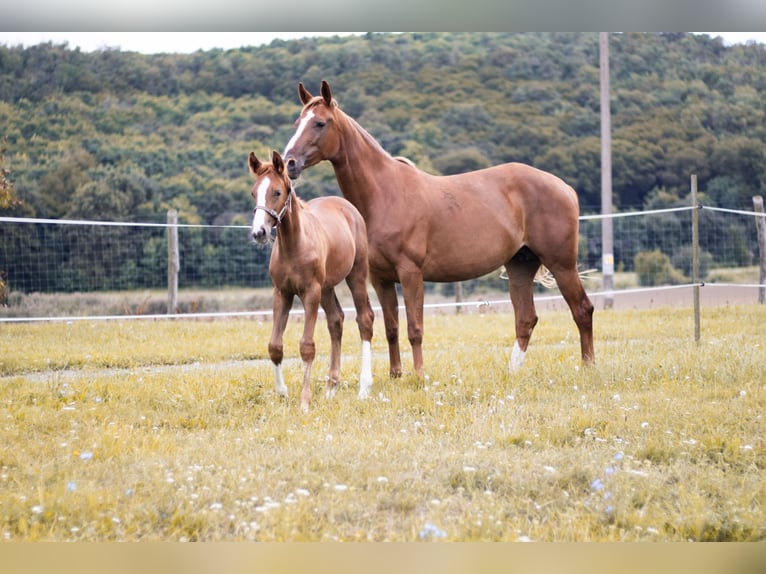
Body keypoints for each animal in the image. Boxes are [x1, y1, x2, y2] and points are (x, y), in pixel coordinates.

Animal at [250, 151, 374, 412]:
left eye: (277, 192)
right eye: (254, 192)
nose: (259, 233)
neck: (294, 245)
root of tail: (348, 208)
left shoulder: (310, 293)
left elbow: (307, 346)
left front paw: (304, 401)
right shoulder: (282, 293)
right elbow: (275, 346)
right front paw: (282, 394)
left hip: (356, 274)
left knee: (364, 320)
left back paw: (364, 387)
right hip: (327, 287)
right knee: (336, 321)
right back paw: (331, 388)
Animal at [284, 80, 596, 378]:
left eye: (320, 123)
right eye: (298, 122)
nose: (289, 163)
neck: (385, 193)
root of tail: (564, 187)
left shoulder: (411, 273)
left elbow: (414, 329)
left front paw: (419, 375)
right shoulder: (381, 279)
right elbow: (392, 328)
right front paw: (395, 374)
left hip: (561, 264)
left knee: (582, 310)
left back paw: (587, 366)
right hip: (521, 265)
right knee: (526, 319)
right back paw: (513, 372)